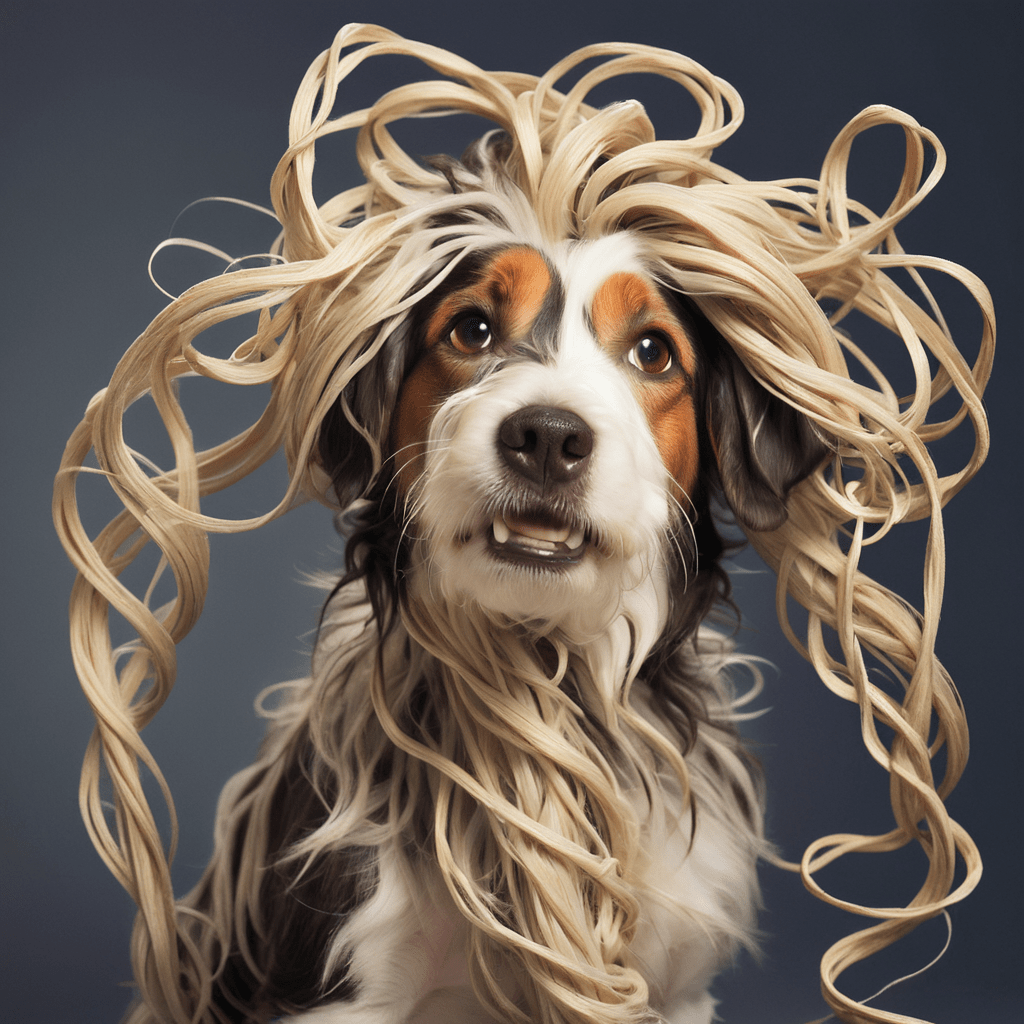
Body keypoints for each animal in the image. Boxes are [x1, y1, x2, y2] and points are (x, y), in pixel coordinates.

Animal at [56, 25, 991, 1024]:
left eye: (654, 351)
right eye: (469, 331)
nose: (546, 435)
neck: (555, 686)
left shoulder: (675, 980)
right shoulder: (343, 976)